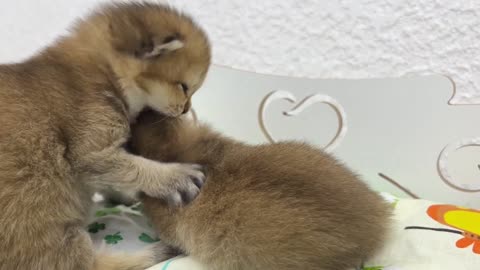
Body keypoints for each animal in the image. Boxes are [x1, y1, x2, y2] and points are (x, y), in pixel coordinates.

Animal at [0, 2, 210, 270]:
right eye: (183, 87)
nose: (185, 109)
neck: (104, 72)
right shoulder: (92, 152)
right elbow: (135, 167)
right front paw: (173, 177)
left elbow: (111, 178)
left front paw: (123, 196)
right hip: (46, 221)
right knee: (90, 264)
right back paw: (157, 251)